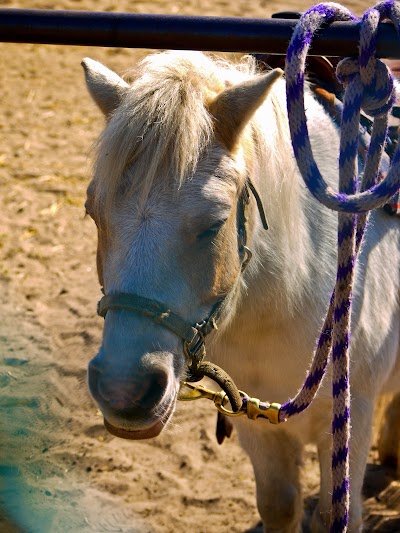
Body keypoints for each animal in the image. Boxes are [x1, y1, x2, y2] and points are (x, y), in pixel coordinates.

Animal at [82, 51, 400, 532]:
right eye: (93, 212)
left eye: (215, 223)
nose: (125, 391)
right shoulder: (257, 423)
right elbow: (278, 504)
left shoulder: (351, 420)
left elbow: (335, 515)